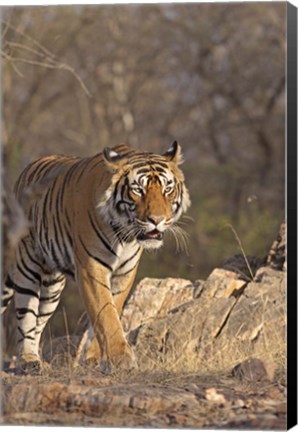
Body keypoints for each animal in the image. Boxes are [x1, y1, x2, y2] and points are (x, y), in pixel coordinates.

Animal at [1, 142, 190, 372]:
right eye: (138, 189)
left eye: (167, 189)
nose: (157, 220)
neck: (125, 237)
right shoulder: (91, 268)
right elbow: (105, 312)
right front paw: (120, 359)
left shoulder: (124, 273)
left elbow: (109, 311)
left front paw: (95, 358)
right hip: (27, 267)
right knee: (26, 316)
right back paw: (28, 360)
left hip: (52, 287)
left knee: (39, 320)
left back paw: (38, 359)